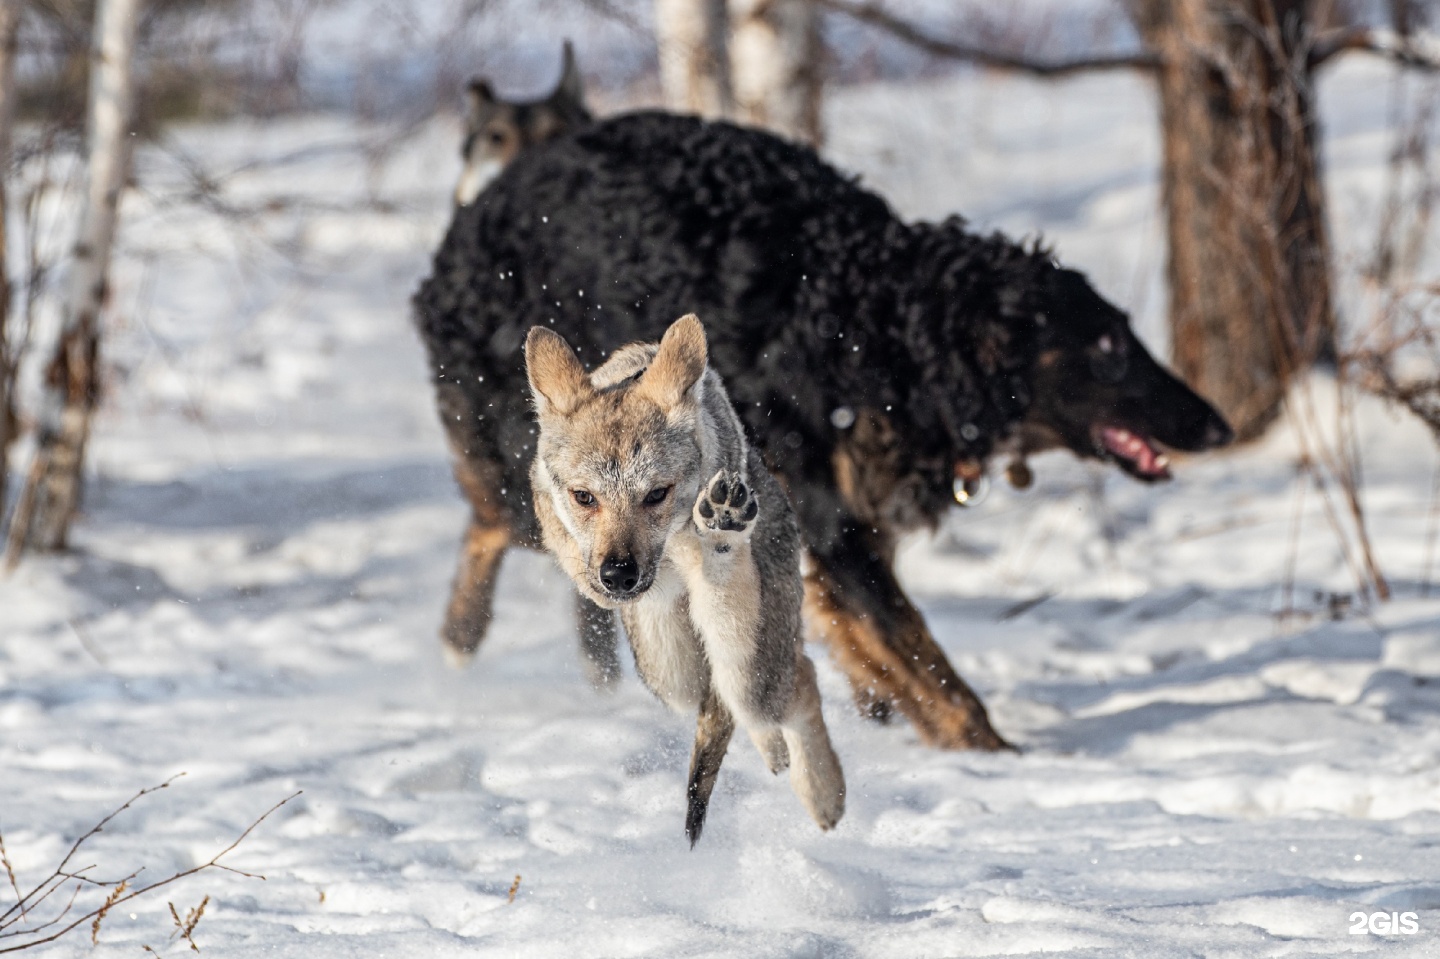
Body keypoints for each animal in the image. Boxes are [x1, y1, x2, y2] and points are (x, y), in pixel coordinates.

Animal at [411, 110, 1232, 748]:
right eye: (1109, 346)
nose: (1220, 426)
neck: (880, 325)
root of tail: (482, 205)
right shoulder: (834, 523)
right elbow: (931, 668)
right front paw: (994, 758)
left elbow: (871, 650)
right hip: (543, 467)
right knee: (494, 526)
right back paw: (460, 642)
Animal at [527, 312, 840, 835]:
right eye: (583, 497)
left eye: (656, 494)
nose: (618, 574)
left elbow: (720, 572)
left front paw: (721, 527)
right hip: (669, 675)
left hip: (753, 677)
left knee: (795, 680)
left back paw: (825, 797)